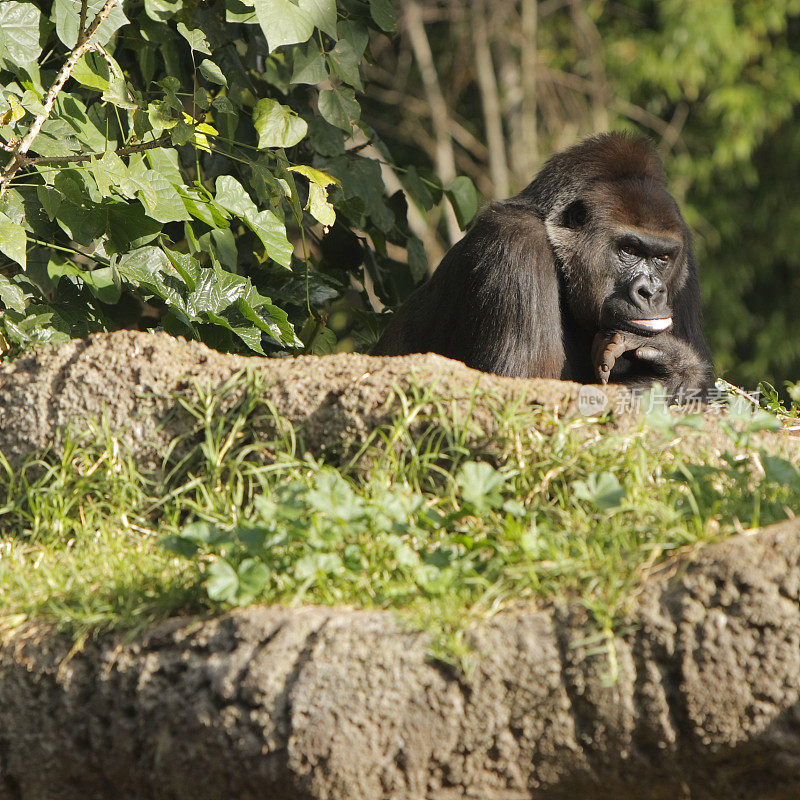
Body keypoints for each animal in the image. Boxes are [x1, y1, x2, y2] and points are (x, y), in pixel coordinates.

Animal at [372, 133, 716, 398]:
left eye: (662, 258)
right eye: (629, 250)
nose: (651, 292)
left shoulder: (685, 256)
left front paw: (678, 365)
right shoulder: (517, 243)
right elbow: (521, 388)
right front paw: (679, 370)